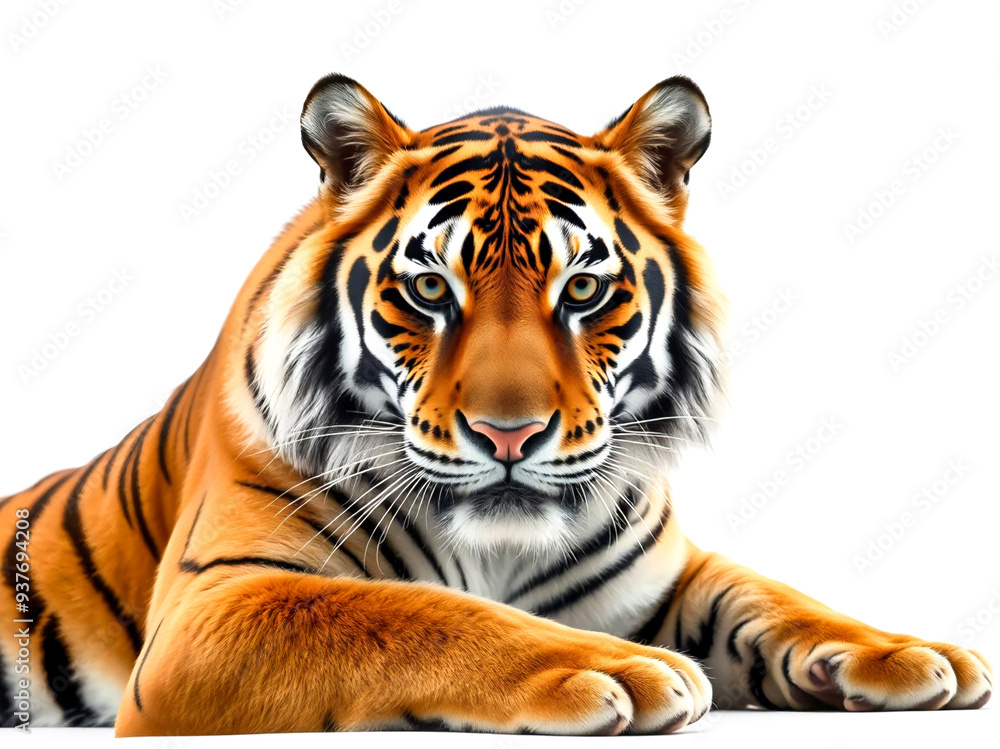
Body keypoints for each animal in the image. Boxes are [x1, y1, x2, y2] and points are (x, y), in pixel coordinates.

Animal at [0, 73, 992, 736]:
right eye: (429, 289)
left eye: (583, 288)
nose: (507, 434)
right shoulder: (213, 605)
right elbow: (416, 614)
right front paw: (622, 667)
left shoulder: (663, 573)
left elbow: (772, 595)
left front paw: (911, 651)